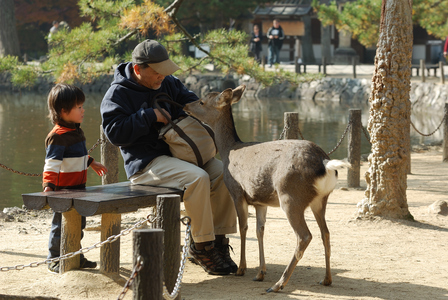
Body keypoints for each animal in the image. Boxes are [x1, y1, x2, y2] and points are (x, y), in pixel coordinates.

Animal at [182, 85, 350, 292]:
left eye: (202, 102)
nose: (185, 105)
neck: (229, 150)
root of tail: (325, 163)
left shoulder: (236, 192)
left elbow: (243, 228)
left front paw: (242, 269)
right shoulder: (260, 202)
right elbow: (259, 230)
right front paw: (260, 273)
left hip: (290, 196)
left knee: (304, 236)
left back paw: (279, 284)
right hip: (320, 200)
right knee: (325, 233)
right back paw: (326, 279)